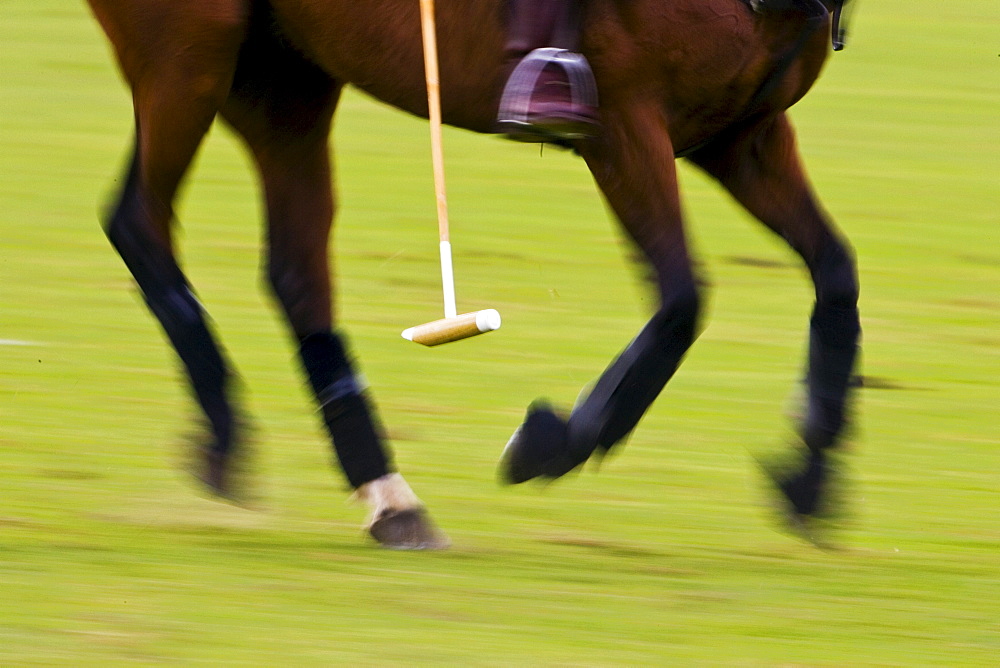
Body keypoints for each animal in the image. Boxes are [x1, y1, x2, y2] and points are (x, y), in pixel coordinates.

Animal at [86, 0, 860, 548]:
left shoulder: (744, 136)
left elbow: (836, 272)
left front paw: (810, 476)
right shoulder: (623, 122)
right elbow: (681, 301)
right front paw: (548, 444)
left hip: (285, 75)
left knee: (296, 271)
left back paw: (390, 500)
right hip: (192, 49)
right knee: (138, 221)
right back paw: (223, 433)